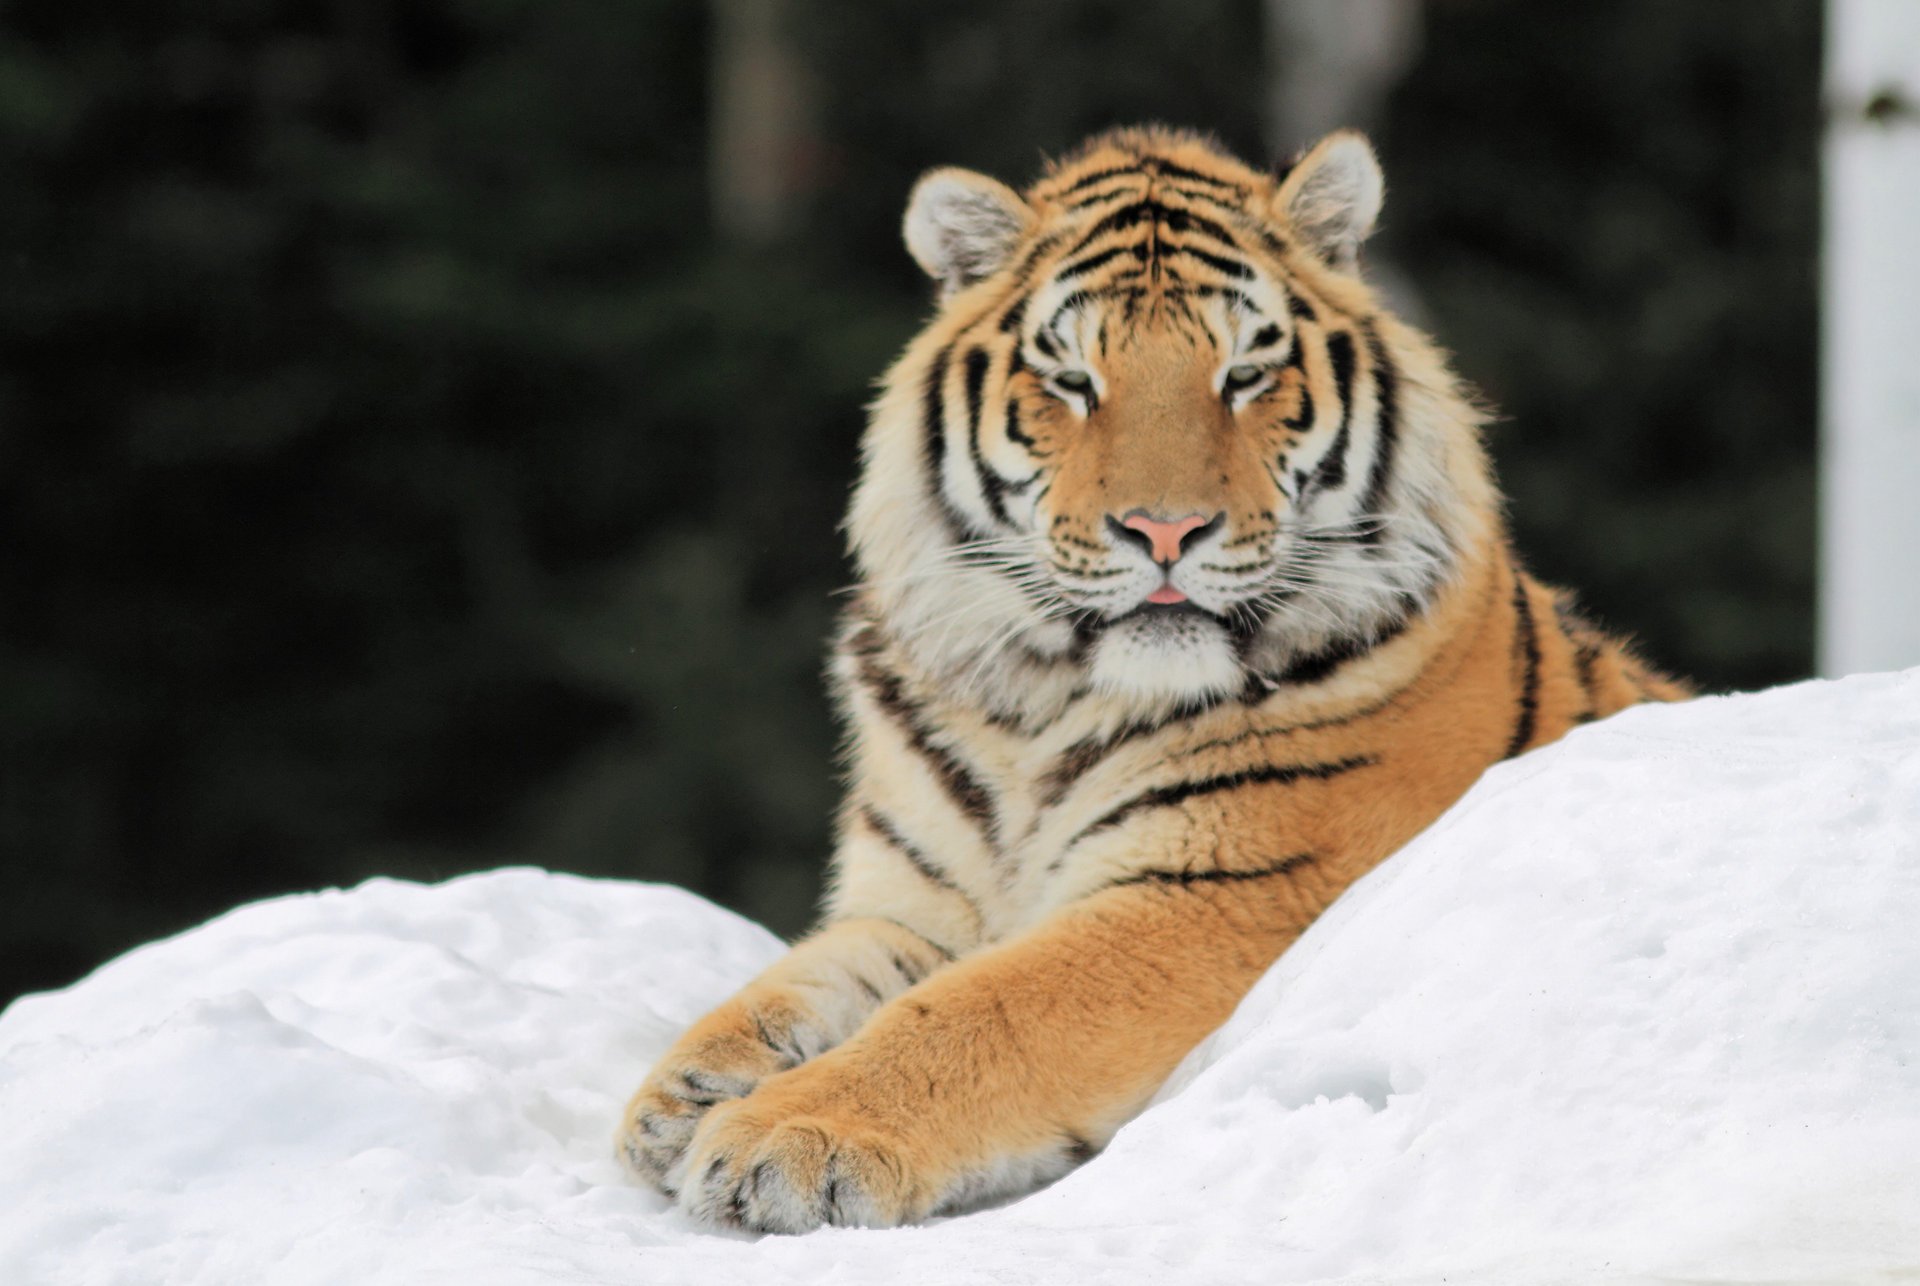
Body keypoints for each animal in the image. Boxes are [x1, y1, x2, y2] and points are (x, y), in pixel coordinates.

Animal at [615, 125, 1688, 1233]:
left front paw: (785, 1137)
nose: (1165, 531)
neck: (1033, 707)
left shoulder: (1212, 895)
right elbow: (812, 973)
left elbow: (980, 1008)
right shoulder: (920, 899)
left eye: (1247, 372)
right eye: (1073, 379)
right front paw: (685, 1090)